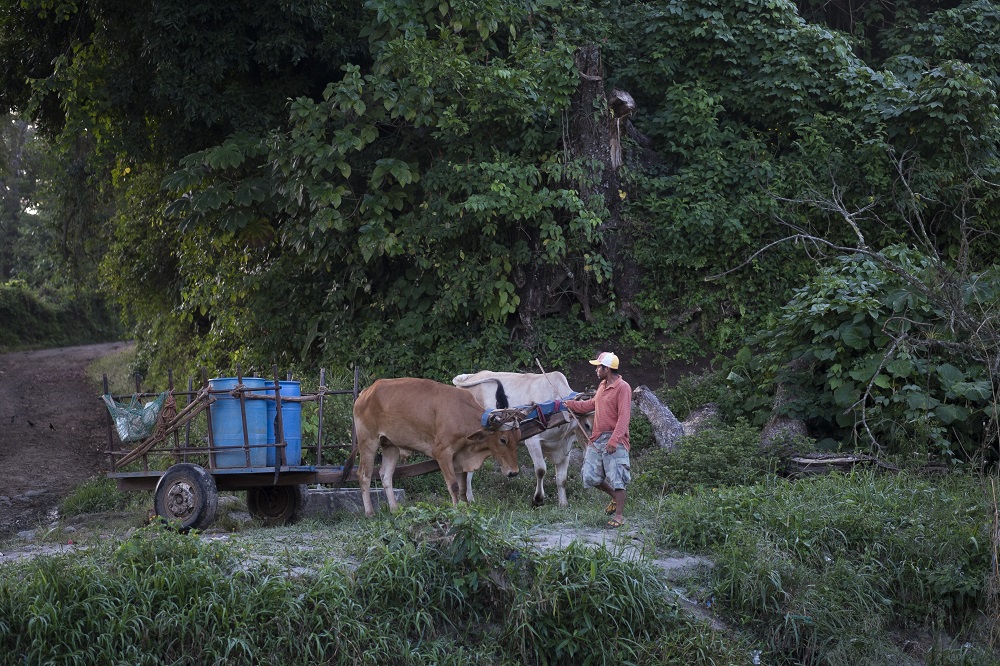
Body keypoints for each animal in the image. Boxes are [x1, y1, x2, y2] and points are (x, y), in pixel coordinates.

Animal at [354, 376, 524, 516]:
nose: (514, 472)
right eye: (503, 440)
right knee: (364, 475)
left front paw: (466, 509)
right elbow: (454, 486)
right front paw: (456, 511)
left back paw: (395, 509)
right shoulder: (442, 453)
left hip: (390, 445)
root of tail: (366, 393)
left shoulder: (460, 458)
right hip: (368, 442)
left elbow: (463, 488)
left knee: (385, 475)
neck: (463, 414)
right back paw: (369, 512)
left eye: (518, 438)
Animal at [452, 368, 588, 504]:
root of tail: (469, 376)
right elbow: (541, 470)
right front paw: (538, 498)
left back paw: (469, 499)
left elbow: (562, 478)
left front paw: (563, 503)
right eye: (587, 424)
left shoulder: (566, 445)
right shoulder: (533, 441)